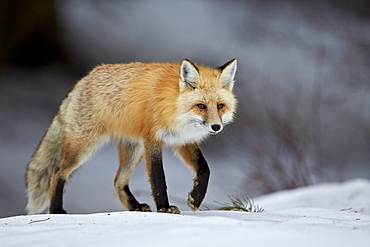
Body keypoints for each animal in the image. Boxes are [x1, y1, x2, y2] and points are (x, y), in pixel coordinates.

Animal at [27, 58, 238, 214]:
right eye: (201, 106)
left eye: (220, 106)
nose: (216, 127)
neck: (175, 108)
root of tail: (83, 79)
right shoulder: (153, 139)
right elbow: (158, 178)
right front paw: (164, 208)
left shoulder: (183, 140)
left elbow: (205, 169)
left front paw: (196, 198)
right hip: (84, 147)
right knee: (57, 172)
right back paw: (56, 210)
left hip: (133, 150)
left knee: (118, 181)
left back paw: (134, 206)